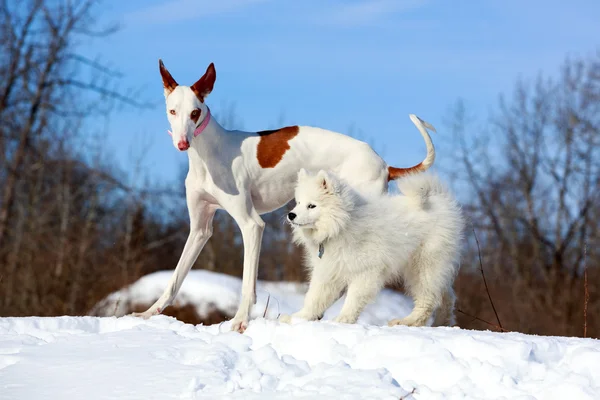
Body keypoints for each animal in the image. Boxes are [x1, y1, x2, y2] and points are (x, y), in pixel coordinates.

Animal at [132, 60, 436, 334]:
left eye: (195, 112)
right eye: (172, 111)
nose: (183, 143)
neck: (208, 155)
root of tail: (384, 164)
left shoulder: (252, 225)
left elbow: (247, 283)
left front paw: (240, 321)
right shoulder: (199, 229)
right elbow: (175, 278)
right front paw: (148, 313)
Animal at [280, 169, 464, 328]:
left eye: (312, 206)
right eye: (298, 203)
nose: (291, 215)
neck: (342, 224)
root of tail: (440, 200)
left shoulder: (366, 271)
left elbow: (354, 298)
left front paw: (342, 320)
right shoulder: (329, 270)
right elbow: (315, 298)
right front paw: (298, 317)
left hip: (423, 266)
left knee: (428, 299)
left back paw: (407, 322)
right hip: (433, 268)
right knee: (447, 296)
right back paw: (441, 323)